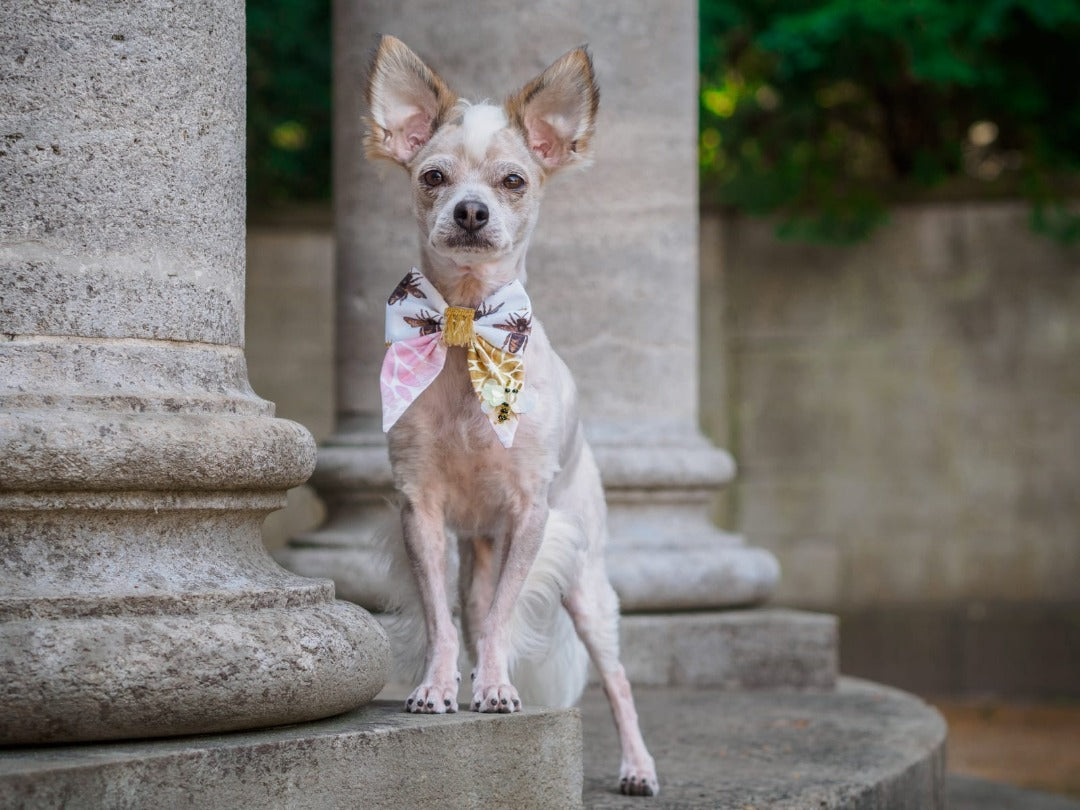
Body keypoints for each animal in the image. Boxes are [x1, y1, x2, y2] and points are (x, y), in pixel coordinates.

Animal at [362, 34, 656, 794]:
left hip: (587, 585)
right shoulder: (421, 511)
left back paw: (637, 767)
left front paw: (496, 689)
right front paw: (438, 689)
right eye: (433, 177)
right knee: (470, 610)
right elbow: (444, 623)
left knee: (617, 680)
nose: (471, 211)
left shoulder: (529, 514)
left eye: (514, 181)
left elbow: (500, 622)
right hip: (478, 552)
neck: (467, 326)